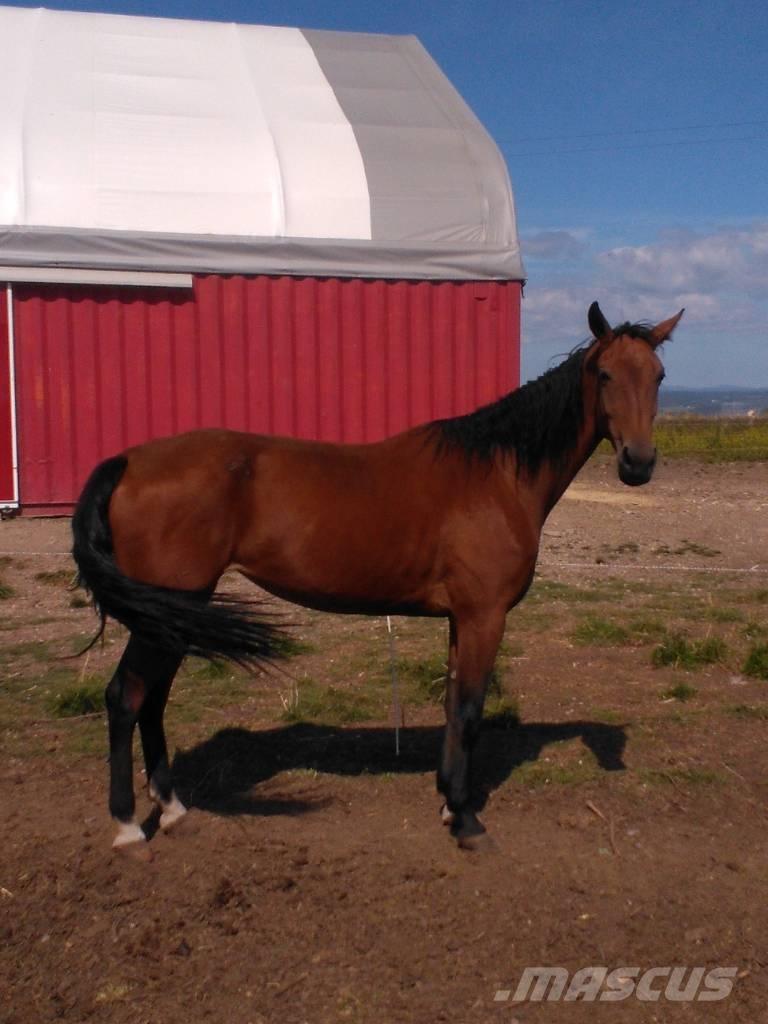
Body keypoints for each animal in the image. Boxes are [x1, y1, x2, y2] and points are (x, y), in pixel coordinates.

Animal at [72, 301, 683, 858]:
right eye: (604, 374)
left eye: (658, 376)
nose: (638, 463)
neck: (496, 476)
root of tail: (128, 462)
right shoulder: (484, 616)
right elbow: (469, 710)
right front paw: (467, 821)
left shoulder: (461, 619)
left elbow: (452, 705)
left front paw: (448, 803)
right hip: (168, 611)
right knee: (126, 697)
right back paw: (128, 827)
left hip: (175, 614)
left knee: (152, 700)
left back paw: (173, 809)